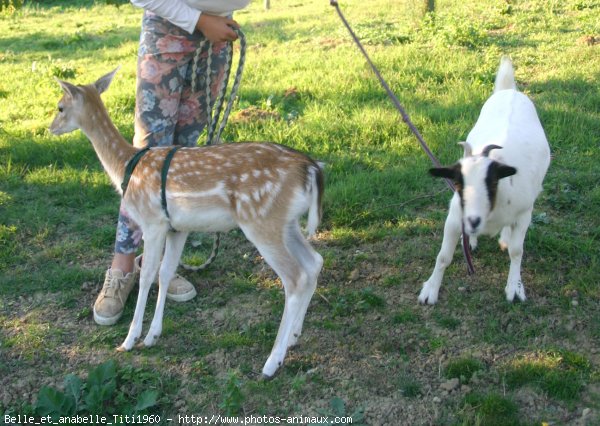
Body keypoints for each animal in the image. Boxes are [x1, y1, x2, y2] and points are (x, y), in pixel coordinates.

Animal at [49, 68, 326, 378]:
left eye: (60, 107)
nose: (50, 128)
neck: (125, 166)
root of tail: (312, 169)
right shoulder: (177, 228)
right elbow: (165, 273)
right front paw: (152, 335)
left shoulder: (152, 222)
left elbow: (147, 276)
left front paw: (130, 340)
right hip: (286, 223)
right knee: (314, 262)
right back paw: (293, 337)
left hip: (261, 220)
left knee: (294, 277)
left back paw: (272, 362)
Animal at [420, 57, 552, 302]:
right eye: (459, 183)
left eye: (492, 182)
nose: (473, 221)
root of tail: (509, 91)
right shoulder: (455, 217)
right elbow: (443, 256)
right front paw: (430, 290)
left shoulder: (524, 214)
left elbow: (517, 251)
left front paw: (515, 287)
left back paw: (504, 237)